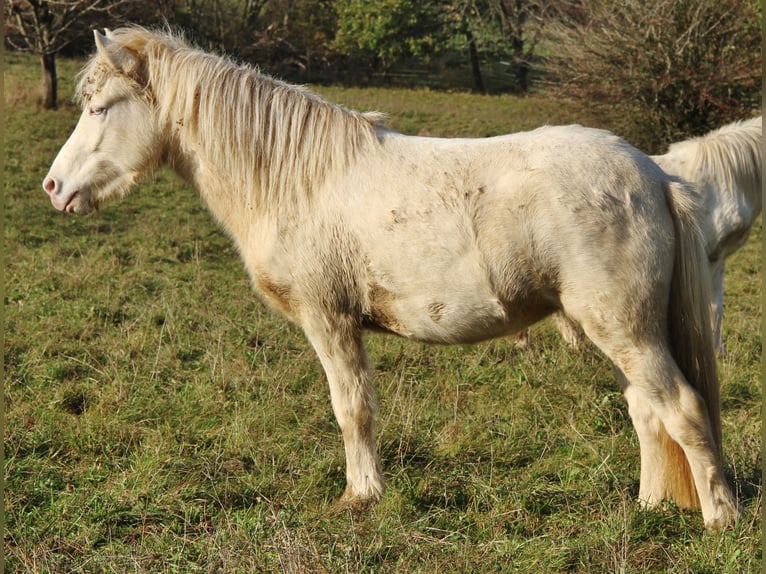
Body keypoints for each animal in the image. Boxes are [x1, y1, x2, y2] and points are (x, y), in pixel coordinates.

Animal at [42, 27, 736, 532]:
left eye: (100, 108)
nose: (54, 187)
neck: (301, 179)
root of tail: (654, 175)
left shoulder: (330, 321)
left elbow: (352, 409)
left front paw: (361, 494)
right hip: (620, 334)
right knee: (647, 412)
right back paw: (650, 506)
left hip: (626, 331)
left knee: (682, 409)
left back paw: (720, 519)